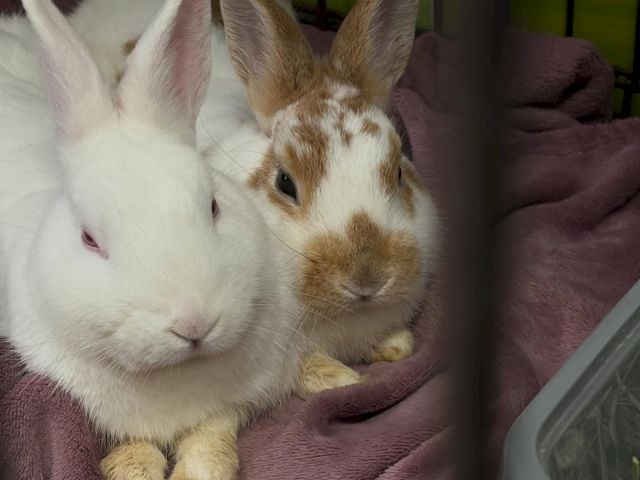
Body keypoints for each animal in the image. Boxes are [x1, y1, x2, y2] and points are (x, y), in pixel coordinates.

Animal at [0, 0, 301, 479]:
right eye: (89, 238)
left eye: (213, 206)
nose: (194, 324)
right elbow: (136, 449)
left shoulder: (232, 407)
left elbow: (211, 435)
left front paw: (203, 469)